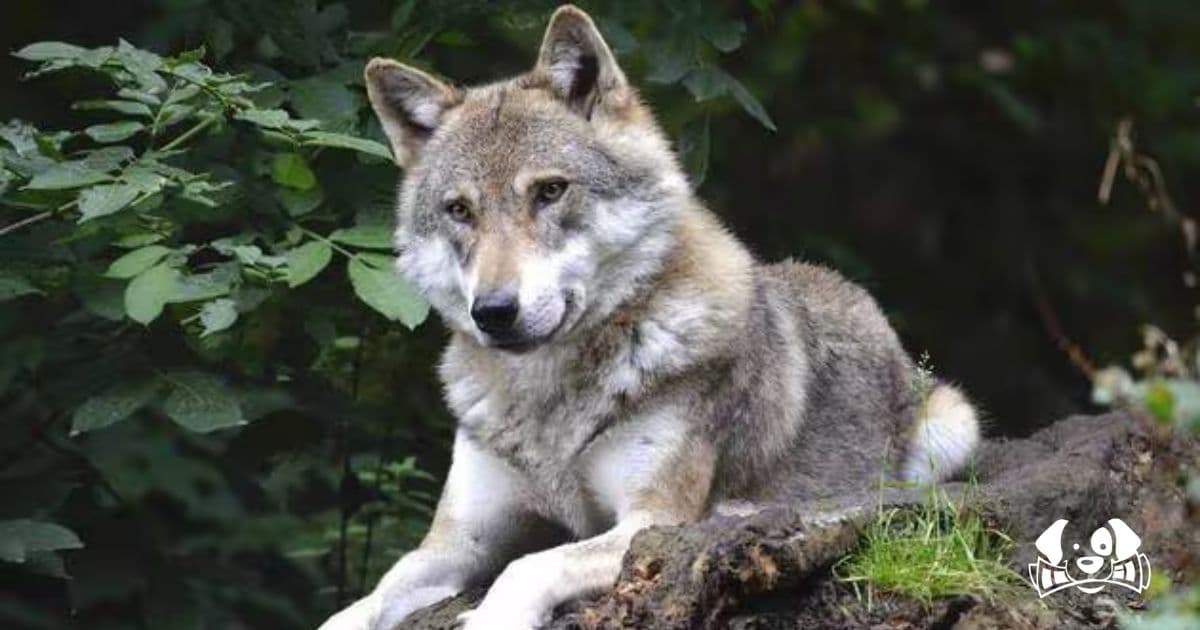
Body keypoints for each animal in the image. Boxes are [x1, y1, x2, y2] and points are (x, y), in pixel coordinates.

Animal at [320, 5, 980, 629]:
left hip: (952, 427)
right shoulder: (458, 542)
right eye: (459, 210)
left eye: (550, 191)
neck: (550, 402)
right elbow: (367, 598)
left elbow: (527, 566)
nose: (495, 312)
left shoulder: (651, 521)